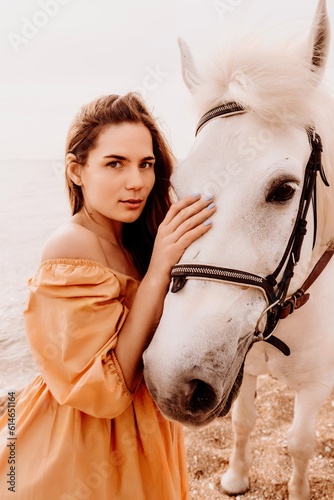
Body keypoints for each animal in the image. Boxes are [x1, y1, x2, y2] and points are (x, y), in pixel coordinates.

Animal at [143, 1, 334, 498]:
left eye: (284, 190)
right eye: (176, 187)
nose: (171, 381)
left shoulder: (316, 385)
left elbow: (301, 443)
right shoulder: (240, 367)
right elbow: (244, 423)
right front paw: (235, 477)